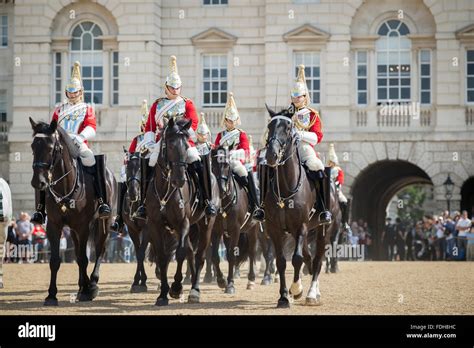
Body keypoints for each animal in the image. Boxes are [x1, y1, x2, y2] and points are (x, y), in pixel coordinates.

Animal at [30, 118, 115, 306]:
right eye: (32, 146)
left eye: (51, 147)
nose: (38, 182)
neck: (65, 187)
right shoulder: (54, 226)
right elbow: (56, 260)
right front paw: (51, 295)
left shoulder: (83, 226)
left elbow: (84, 259)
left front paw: (88, 291)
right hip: (75, 231)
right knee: (78, 253)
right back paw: (83, 286)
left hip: (103, 223)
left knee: (100, 249)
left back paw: (92, 284)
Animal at [146, 117, 218, 304]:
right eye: (170, 145)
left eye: (186, 146)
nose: (179, 180)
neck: (165, 188)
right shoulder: (155, 225)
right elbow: (162, 257)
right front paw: (163, 294)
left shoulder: (183, 222)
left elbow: (180, 253)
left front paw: (176, 287)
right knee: (191, 252)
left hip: (206, 224)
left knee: (199, 255)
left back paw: (195, 290)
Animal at [209, 145, 258, 292]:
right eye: (213, 165)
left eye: (226, 164)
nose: (221, 189)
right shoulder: (216, 231)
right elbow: (215, 256)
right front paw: (221, 280)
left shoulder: (236, 230)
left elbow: (231, 255)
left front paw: (230, 284)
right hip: (227, 234)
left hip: (253, 228)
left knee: (252, 251)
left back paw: (251, 280)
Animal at [262, 106, 336, 308]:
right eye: (269, 126)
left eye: (288, 128)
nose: (271, 155)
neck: (286, 188)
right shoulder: (275, 229)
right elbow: (281, 261)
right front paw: (283, 297)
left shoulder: (301, 226)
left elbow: (296, 259)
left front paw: (296, 289)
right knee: (309, 258)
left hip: (324, 230)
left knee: (317, 260)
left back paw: (312, 293)